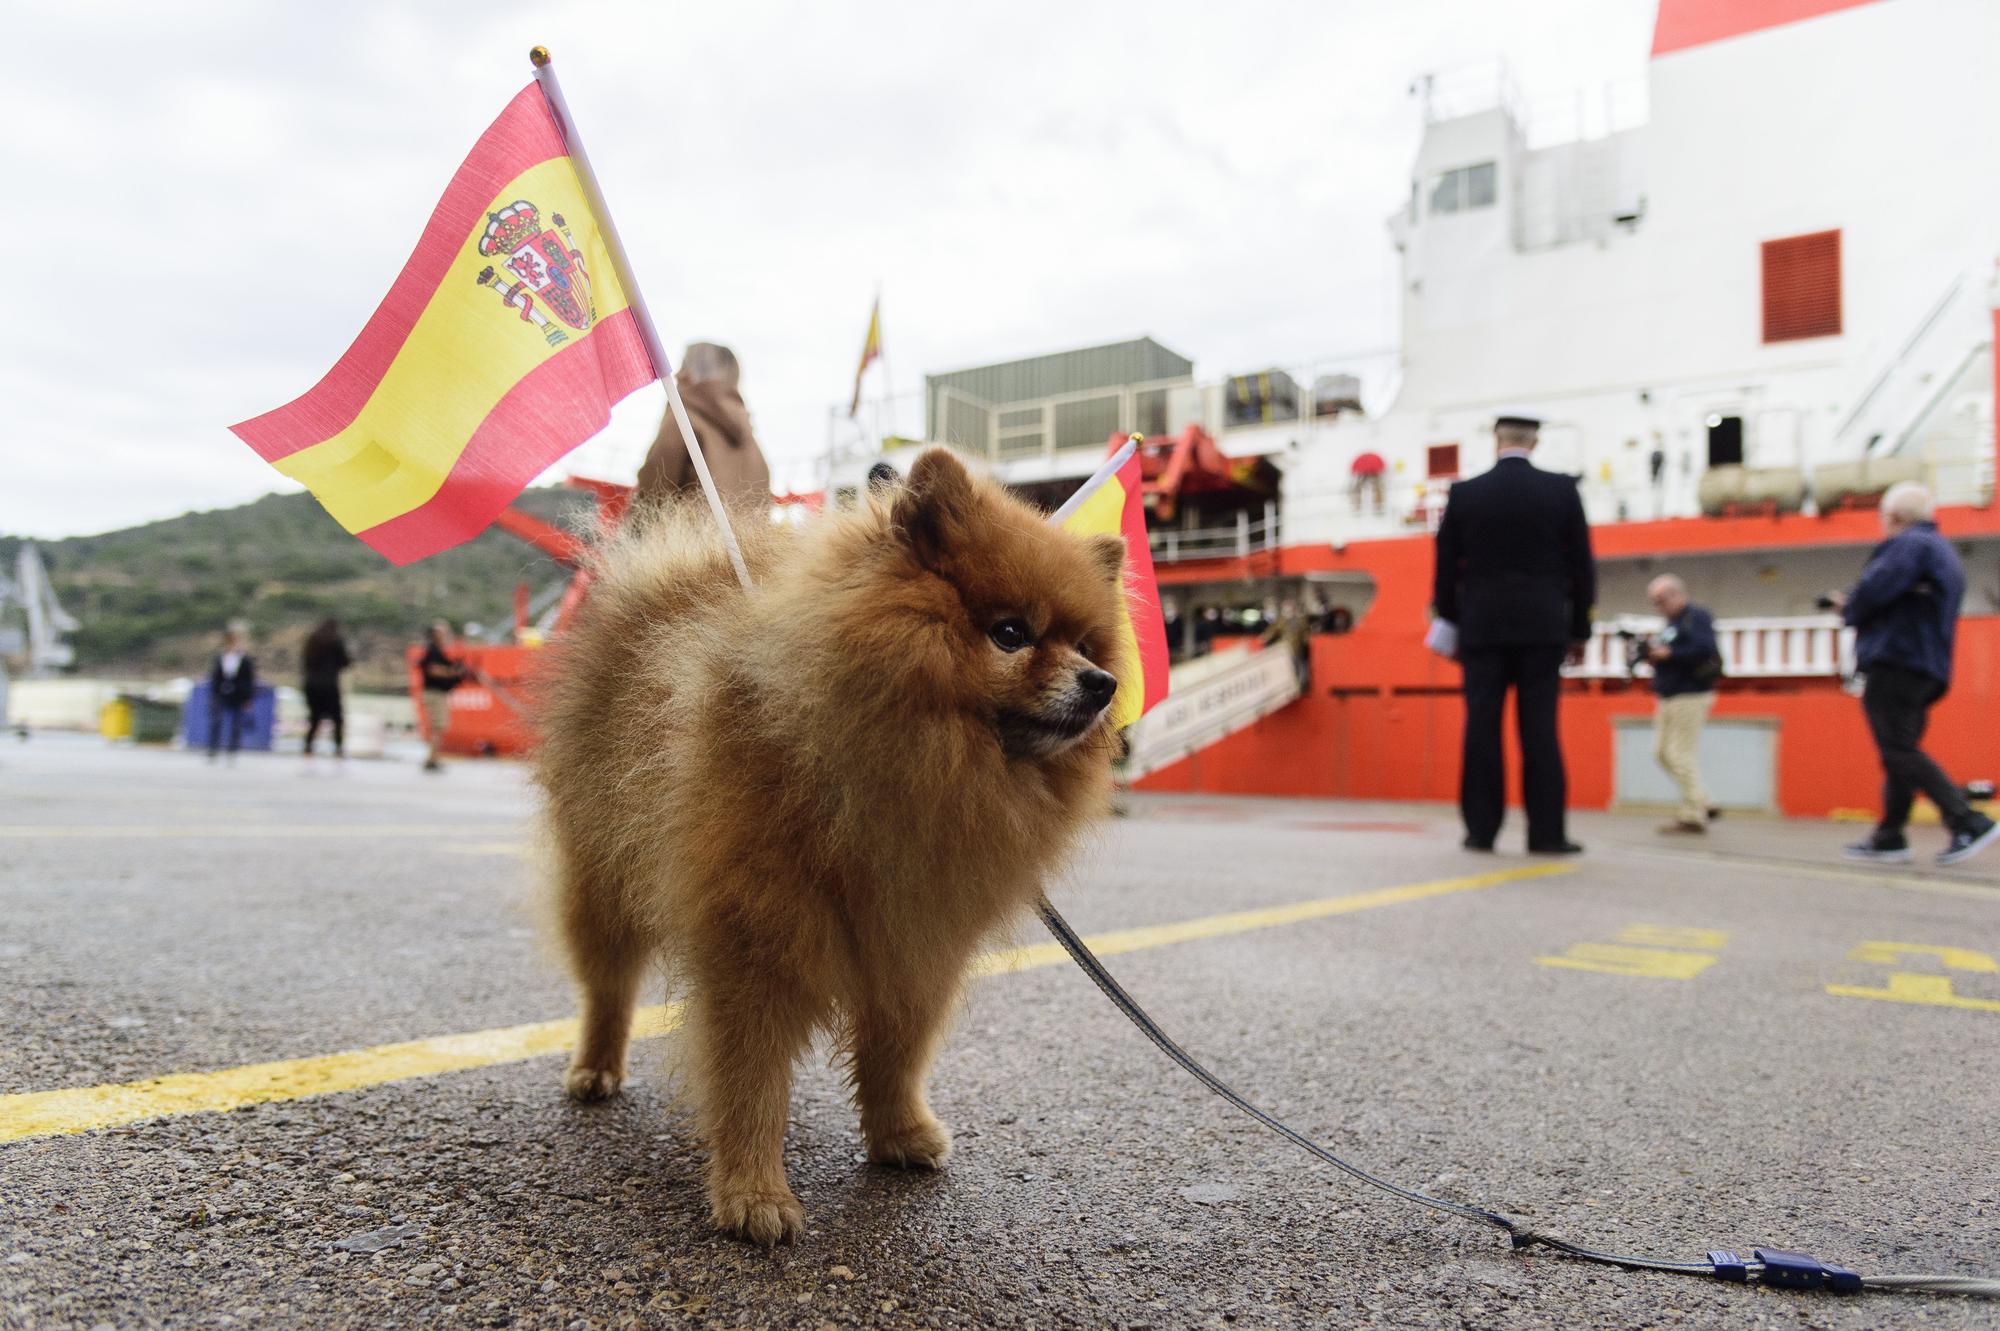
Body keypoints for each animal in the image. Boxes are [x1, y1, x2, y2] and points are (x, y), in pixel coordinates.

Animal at [536, 447, 1128, 1247]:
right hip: (602, 876)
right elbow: (751, 1080)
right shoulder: (754, 944)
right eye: (1010, 633)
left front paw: (899, 1132)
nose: (1102, 682)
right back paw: (595, 1067)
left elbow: (896, 1054)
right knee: (607, 984)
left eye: (1087, 645)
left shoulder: (916, 943)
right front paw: (755, 1194)